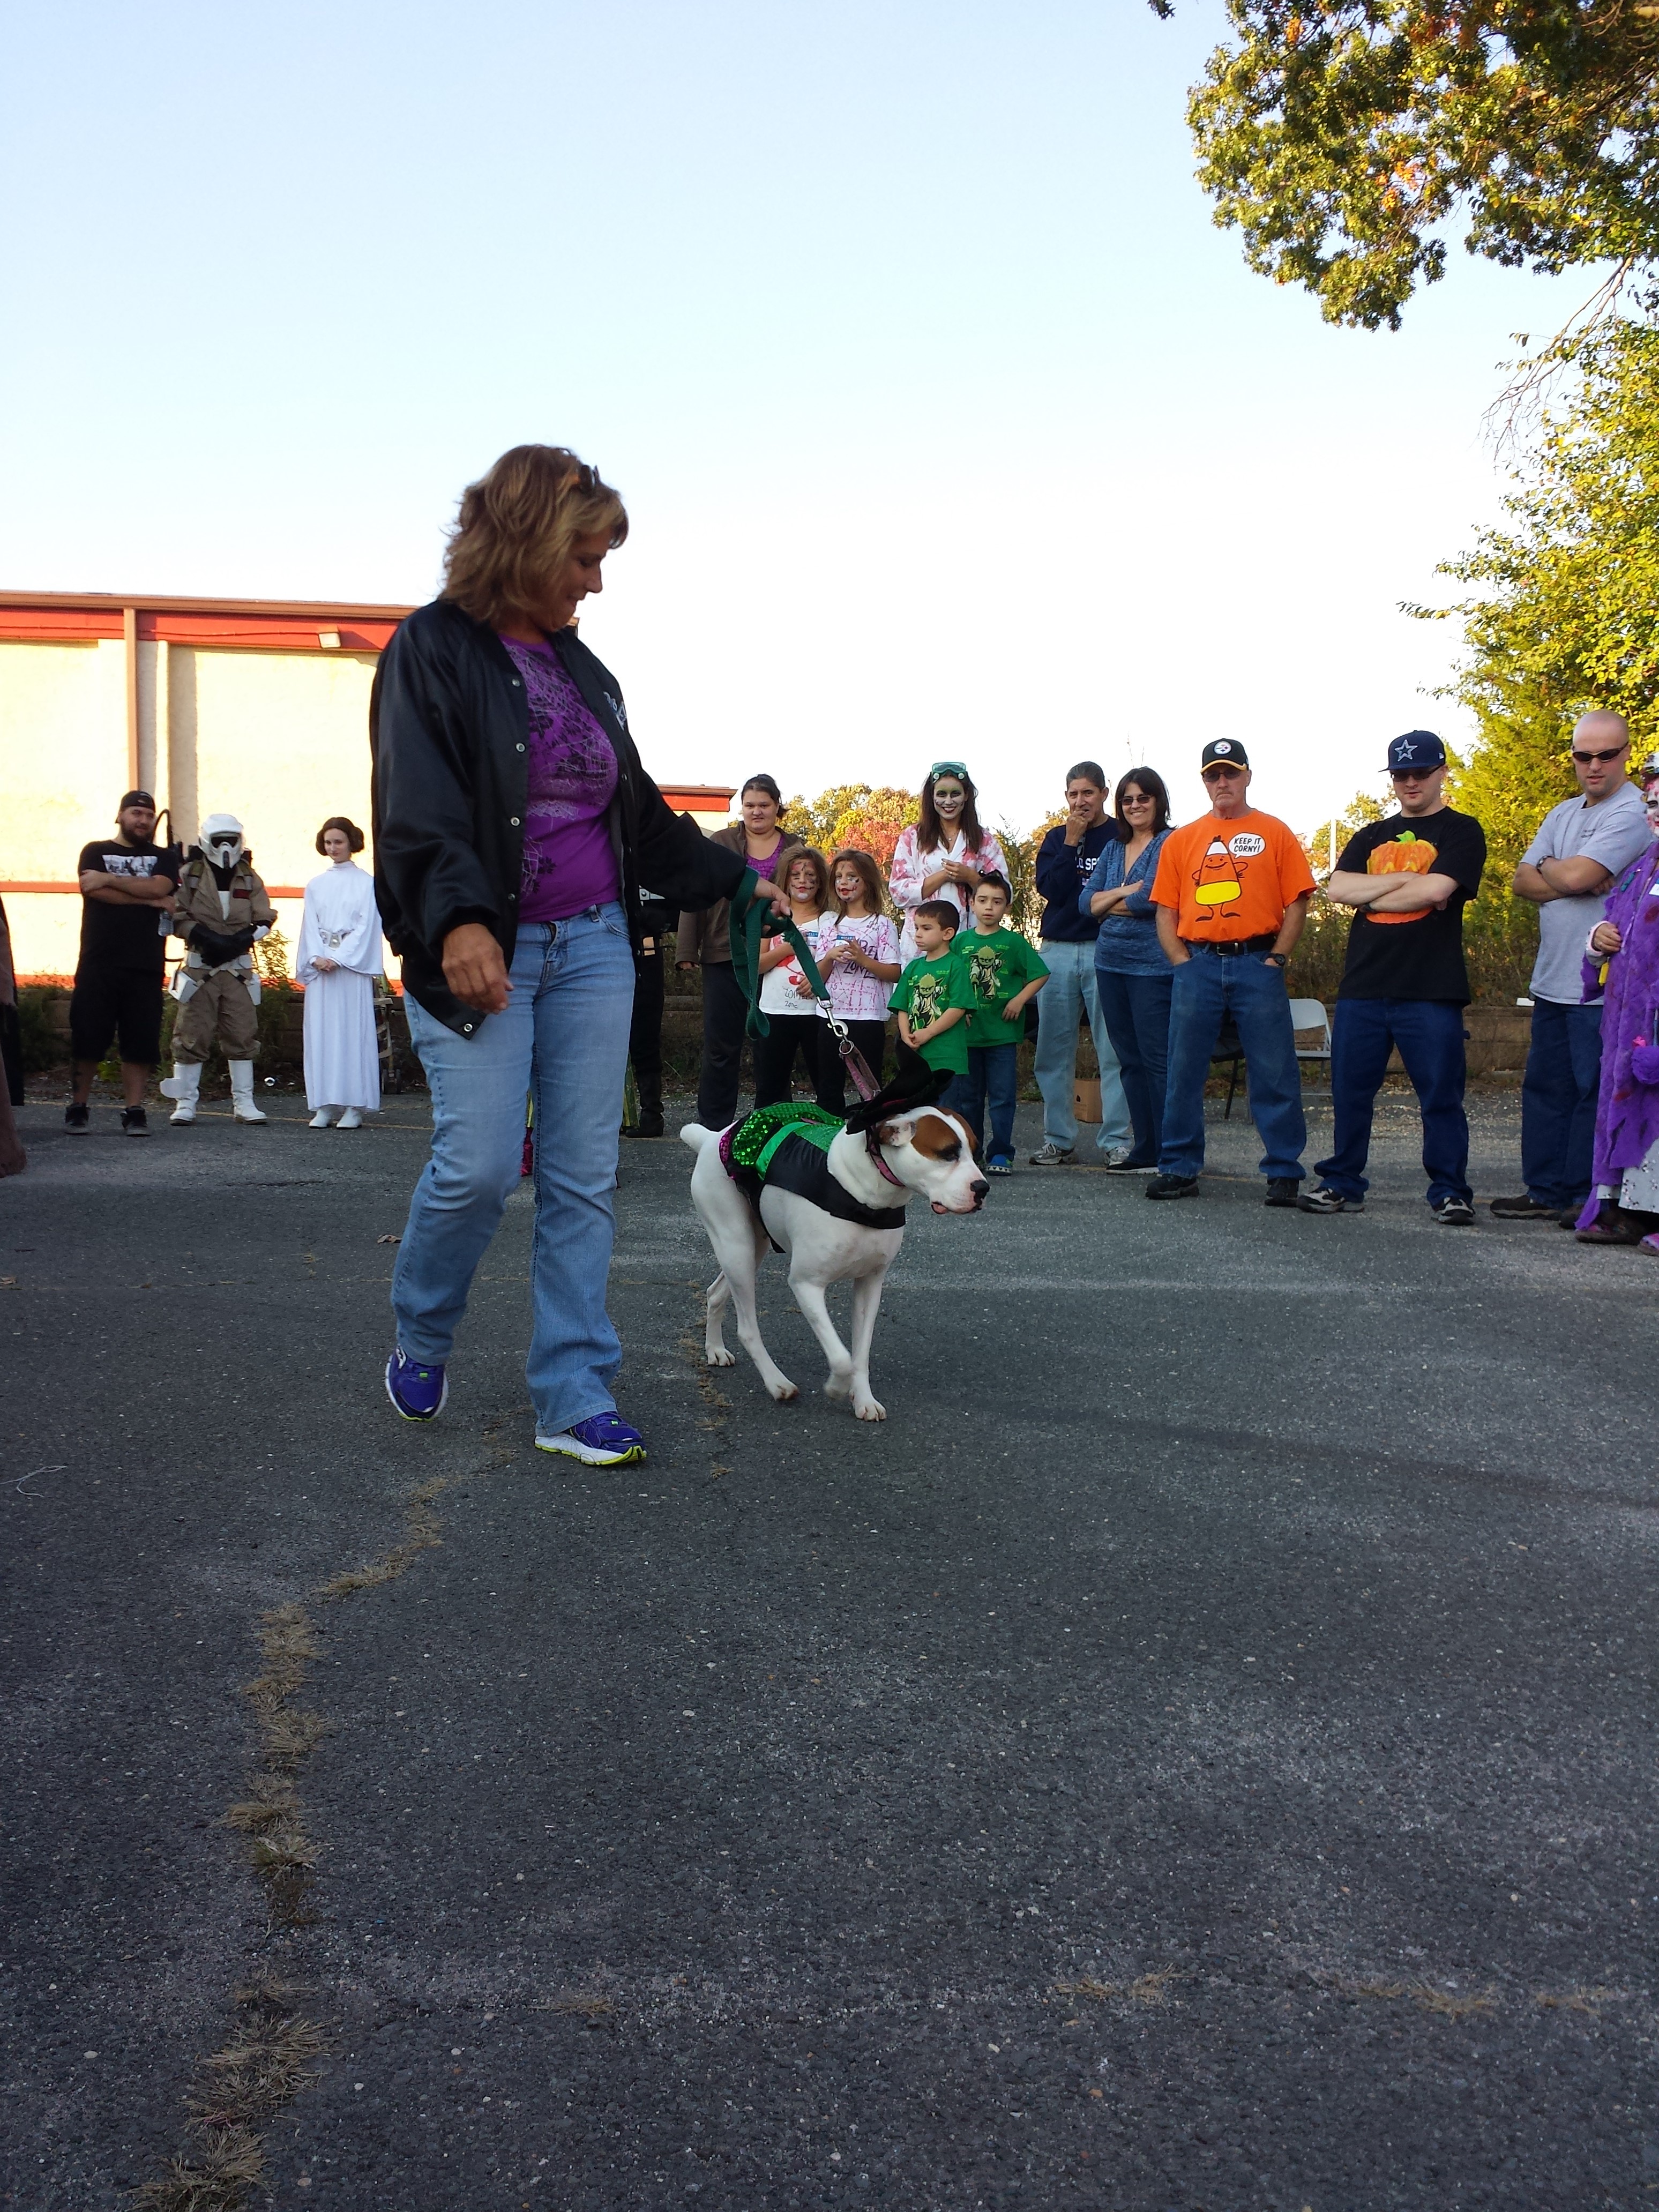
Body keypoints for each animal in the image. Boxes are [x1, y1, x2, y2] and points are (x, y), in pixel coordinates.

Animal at [685, 1083, 987, 1424]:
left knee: (715, 1292)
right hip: (736, 1246)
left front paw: (864, 1400)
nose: (983, 1188)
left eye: (974, 1151)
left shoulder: (870, 1286)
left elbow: (860, 1354)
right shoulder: (807, 1285)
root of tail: (712, 1139)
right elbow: (843, 1358)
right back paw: (778, 1384)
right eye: (947, 1153)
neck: (866, 1193)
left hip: (751, 1248)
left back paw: (715, 1349)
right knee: (748, 1327)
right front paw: (836, 1388)